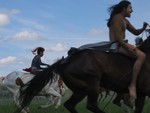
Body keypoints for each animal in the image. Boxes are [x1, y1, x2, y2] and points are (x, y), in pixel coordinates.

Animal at [15, 35, 150, 113]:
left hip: (81, 89)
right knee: (91, 105)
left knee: (70, 105)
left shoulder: (141, 93)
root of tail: (65, 62)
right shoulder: (144, 91)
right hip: (91, 84)